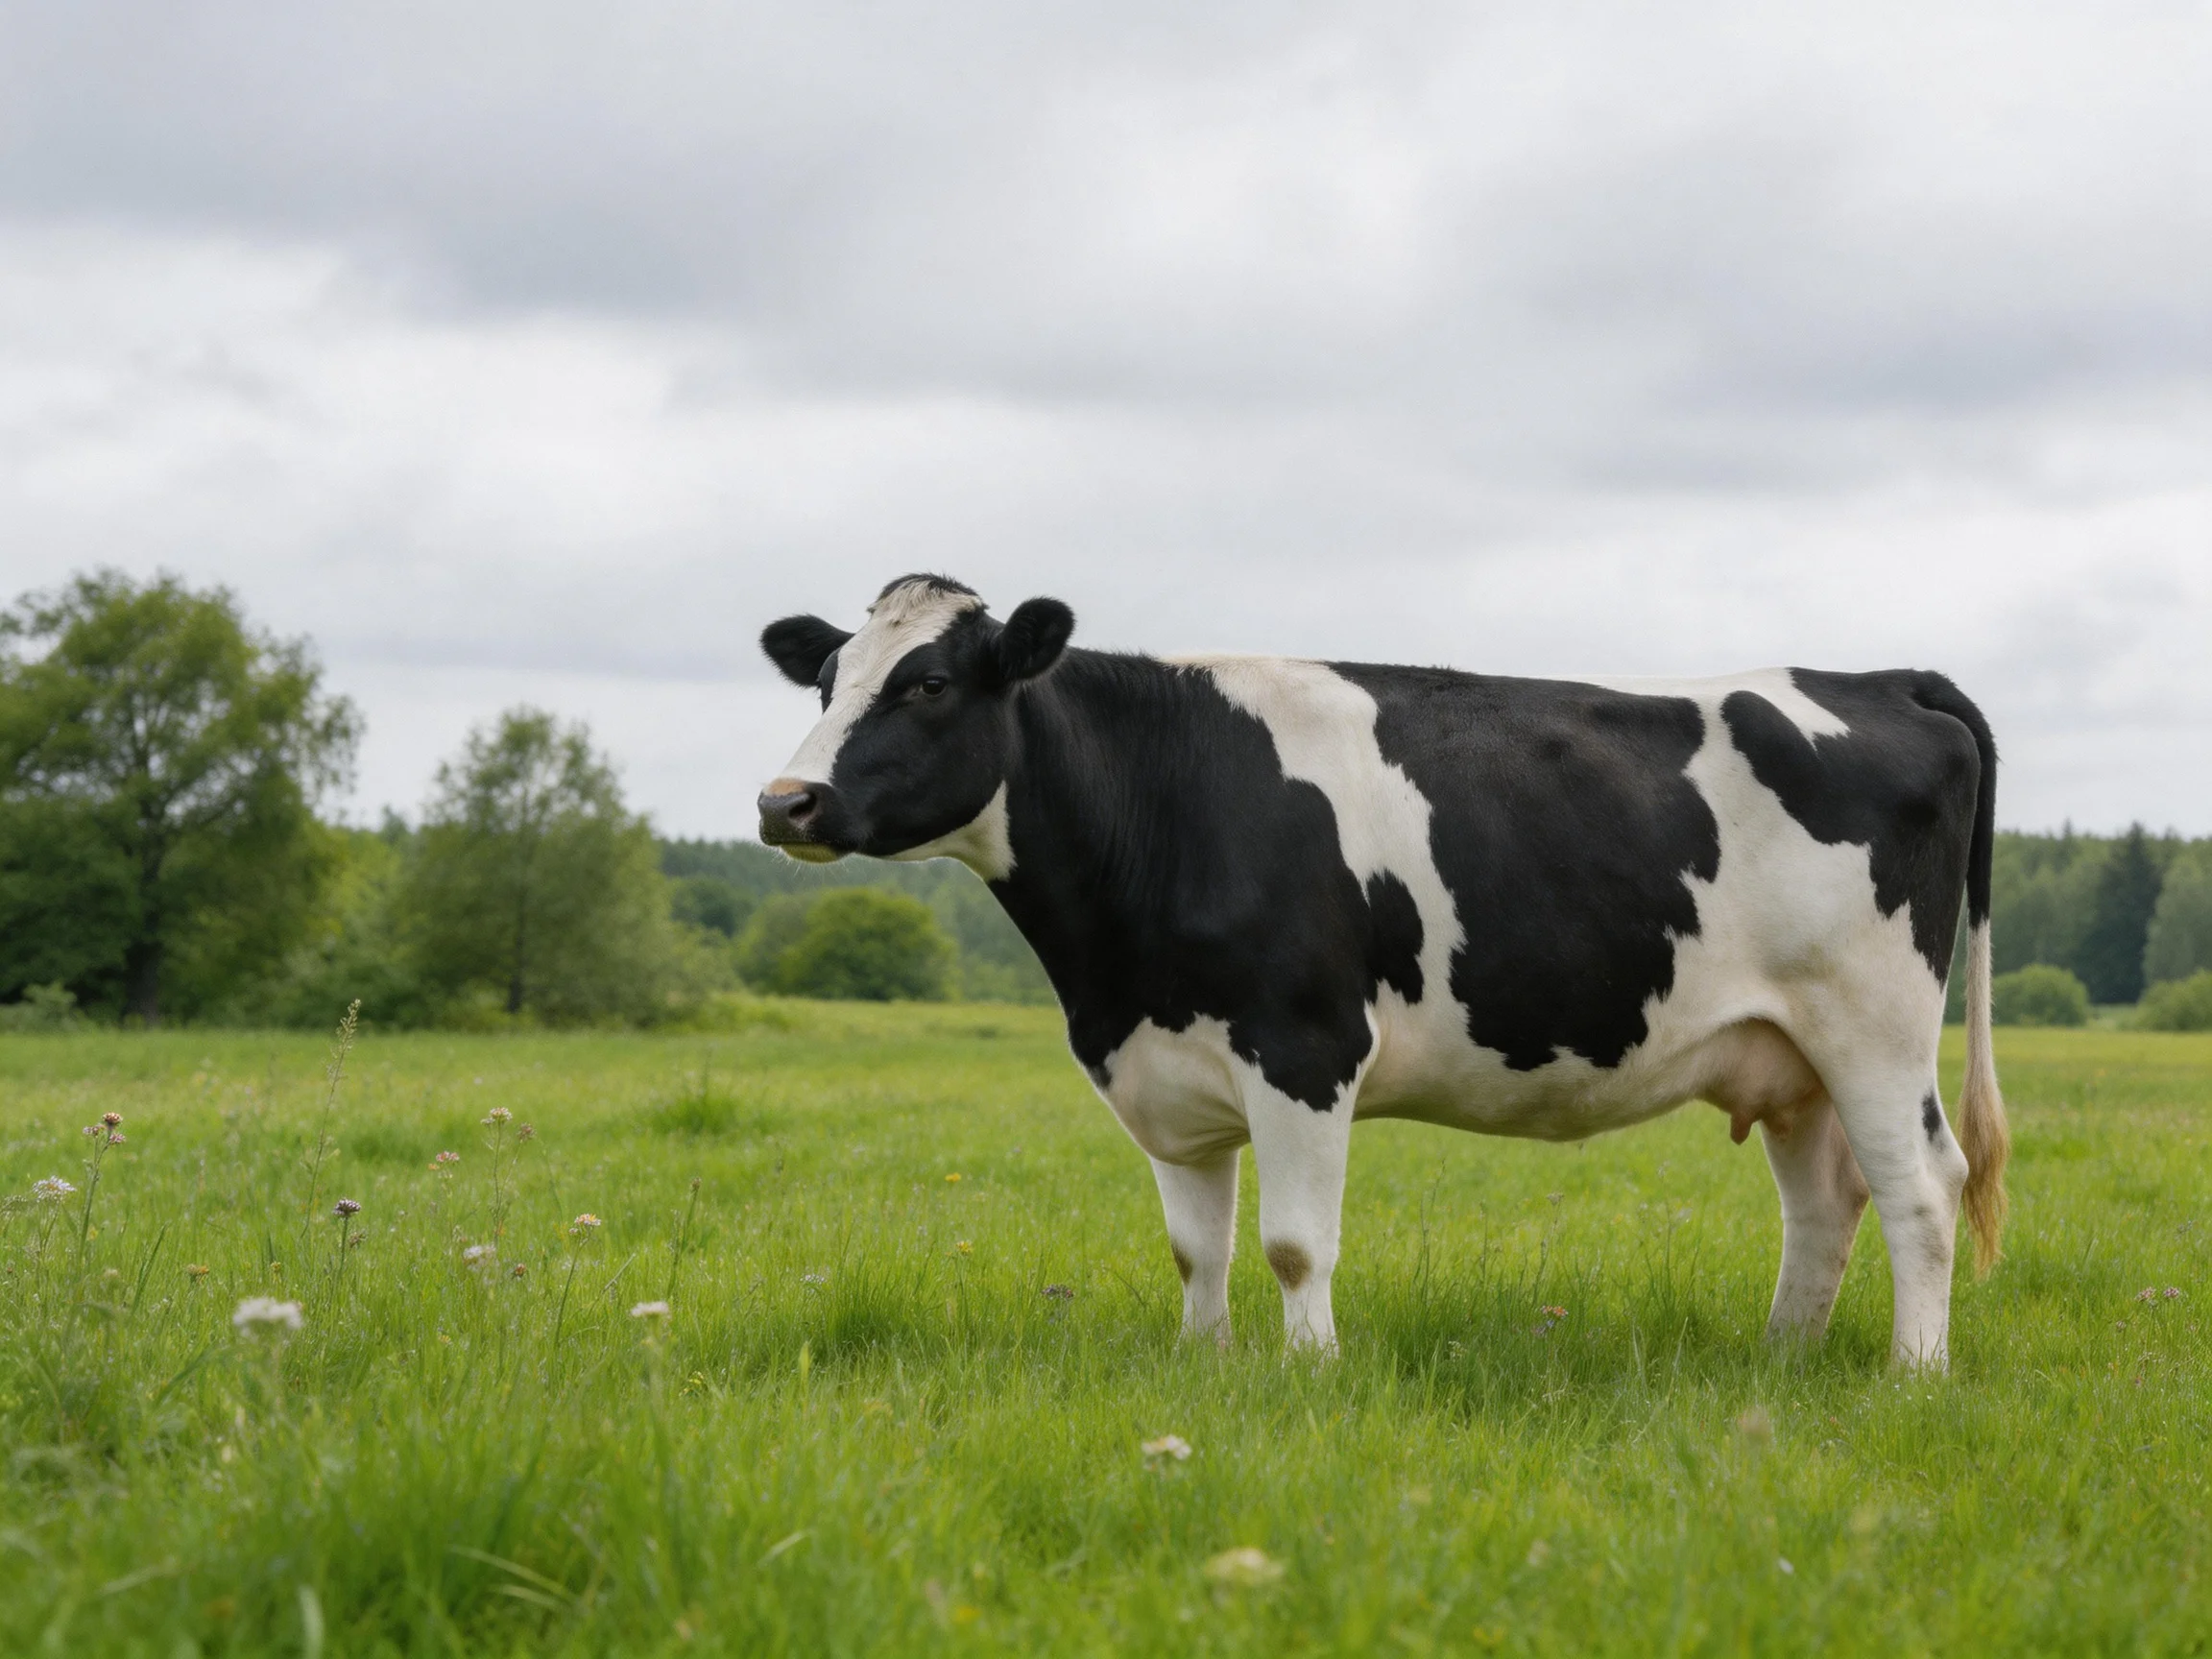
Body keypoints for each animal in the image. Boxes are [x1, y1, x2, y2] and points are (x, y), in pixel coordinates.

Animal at [756, 574, 2010, 1370]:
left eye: (927, 684)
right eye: (825, 685)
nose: (785, 802)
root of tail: (1880, 678)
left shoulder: (1303, 1047)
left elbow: (1292, 1244)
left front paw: (1310, 1376)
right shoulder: (1170, 1069)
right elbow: (1196, 1247)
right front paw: (1203, 1368)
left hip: (1875, 1023)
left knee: (1921, 1187)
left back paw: (1914, 1374)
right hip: (1789, 1052)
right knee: (1826, 1201)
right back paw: (1782, 1362)